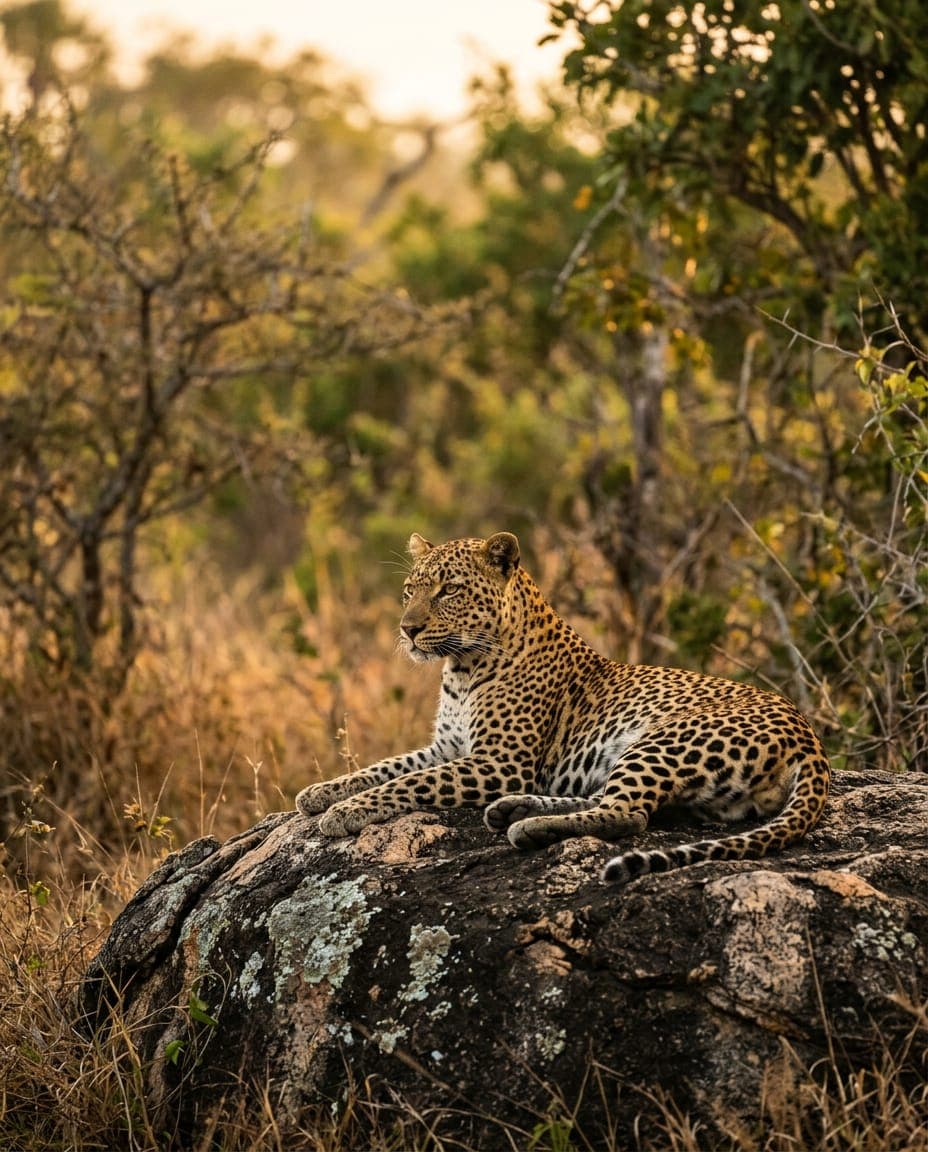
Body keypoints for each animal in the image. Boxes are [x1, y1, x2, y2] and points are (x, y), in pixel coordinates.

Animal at [296, 531, 831, 883]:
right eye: (410, 590)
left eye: (449, 590)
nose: (407, 629)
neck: (461, 669)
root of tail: (811, 741)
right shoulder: (448, 748)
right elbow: (386, 767)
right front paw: (321, 792)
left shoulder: (498, 761)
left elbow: (408, 783)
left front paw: (343, 812)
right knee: (617, 802)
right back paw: (512, 810)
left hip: (663, 740)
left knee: (627, 813)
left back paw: (528, 826)